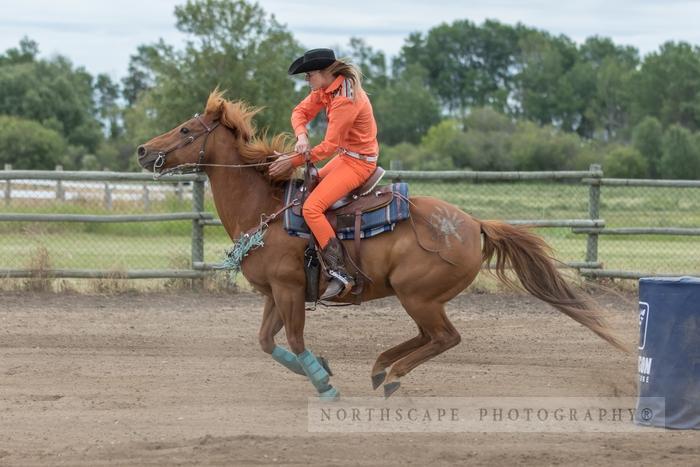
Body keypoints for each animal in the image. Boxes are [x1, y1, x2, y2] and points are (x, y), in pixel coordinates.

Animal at [137, 90, 628, 398]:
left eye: (185, 130)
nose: (143, 150)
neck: (266, 209)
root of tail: (472, 223)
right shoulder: (274, 293)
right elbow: (265, 342)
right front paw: (322, 369)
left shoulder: (290, 290)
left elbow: (294, 338)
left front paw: (324, 383)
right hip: (420, 298)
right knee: (428, 336)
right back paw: (379, 367)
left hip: (418, 294)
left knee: (445, 337)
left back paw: (391, 375)